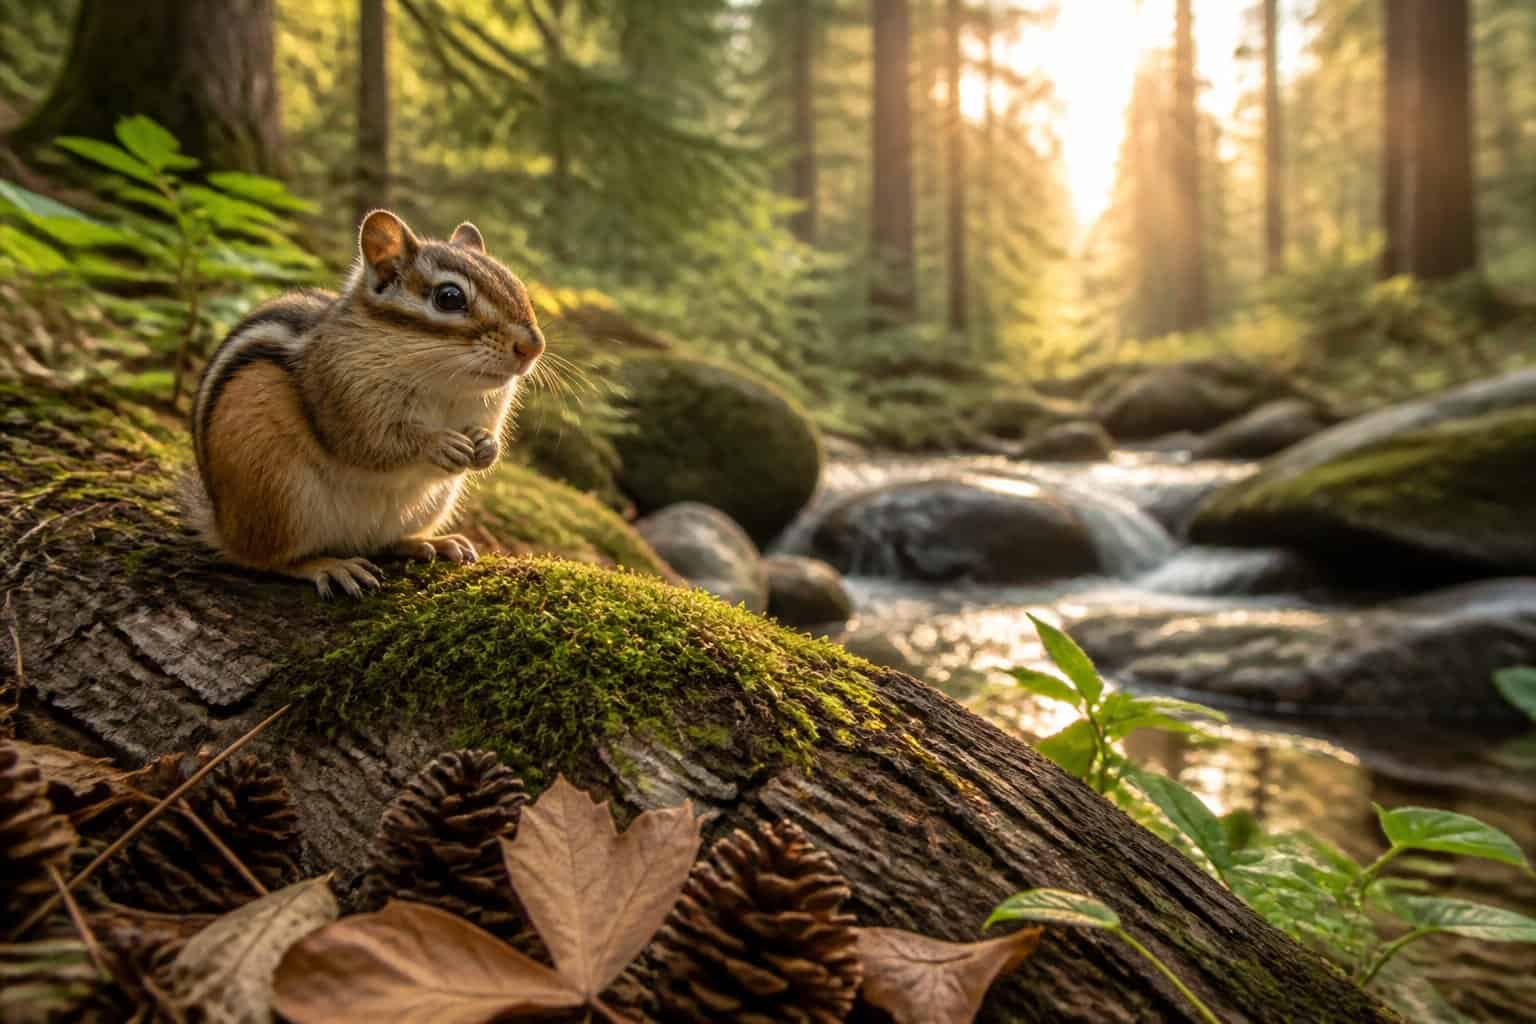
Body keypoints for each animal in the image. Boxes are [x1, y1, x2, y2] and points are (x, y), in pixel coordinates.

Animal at [187, 209, 545, 597]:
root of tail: (222, 524)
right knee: (263, 559)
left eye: (518, 286)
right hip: (278, 495)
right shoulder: (340, 394)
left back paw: (429, 542)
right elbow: (372, 443)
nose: (533, 347)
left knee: (379, 543)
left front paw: (486, 446)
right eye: (449, 298)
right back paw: (328, 566)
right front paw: (438, 443)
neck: (445, 383)